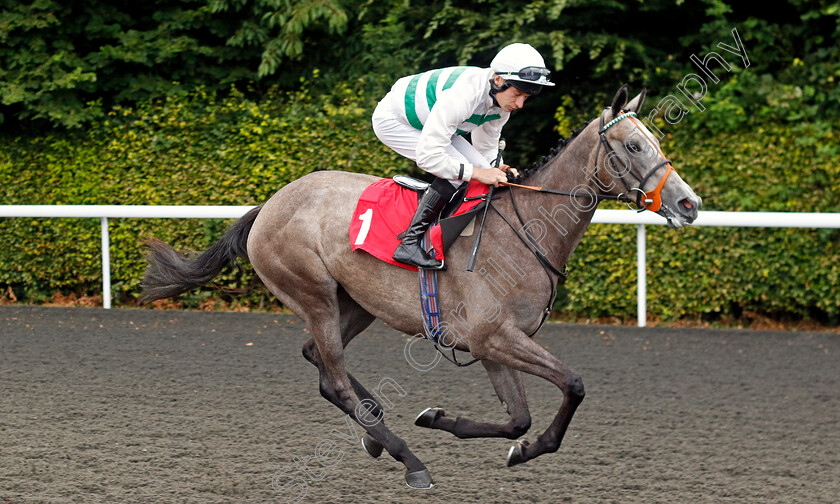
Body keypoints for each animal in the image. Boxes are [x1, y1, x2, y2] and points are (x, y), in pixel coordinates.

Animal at [143, 85, 704, 488]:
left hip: (357, 304)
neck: (526, 230)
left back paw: (374, 429)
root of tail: (270, 204)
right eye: (633, 145)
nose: (690, 203)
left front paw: (453, 423)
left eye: (656, 142)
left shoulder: (492, 345)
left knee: (319, 362)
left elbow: (518, 420)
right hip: (314, 294)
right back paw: (408, 459)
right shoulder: (494, 337)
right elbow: (574, 384)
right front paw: (506, 445)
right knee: (333, 377)